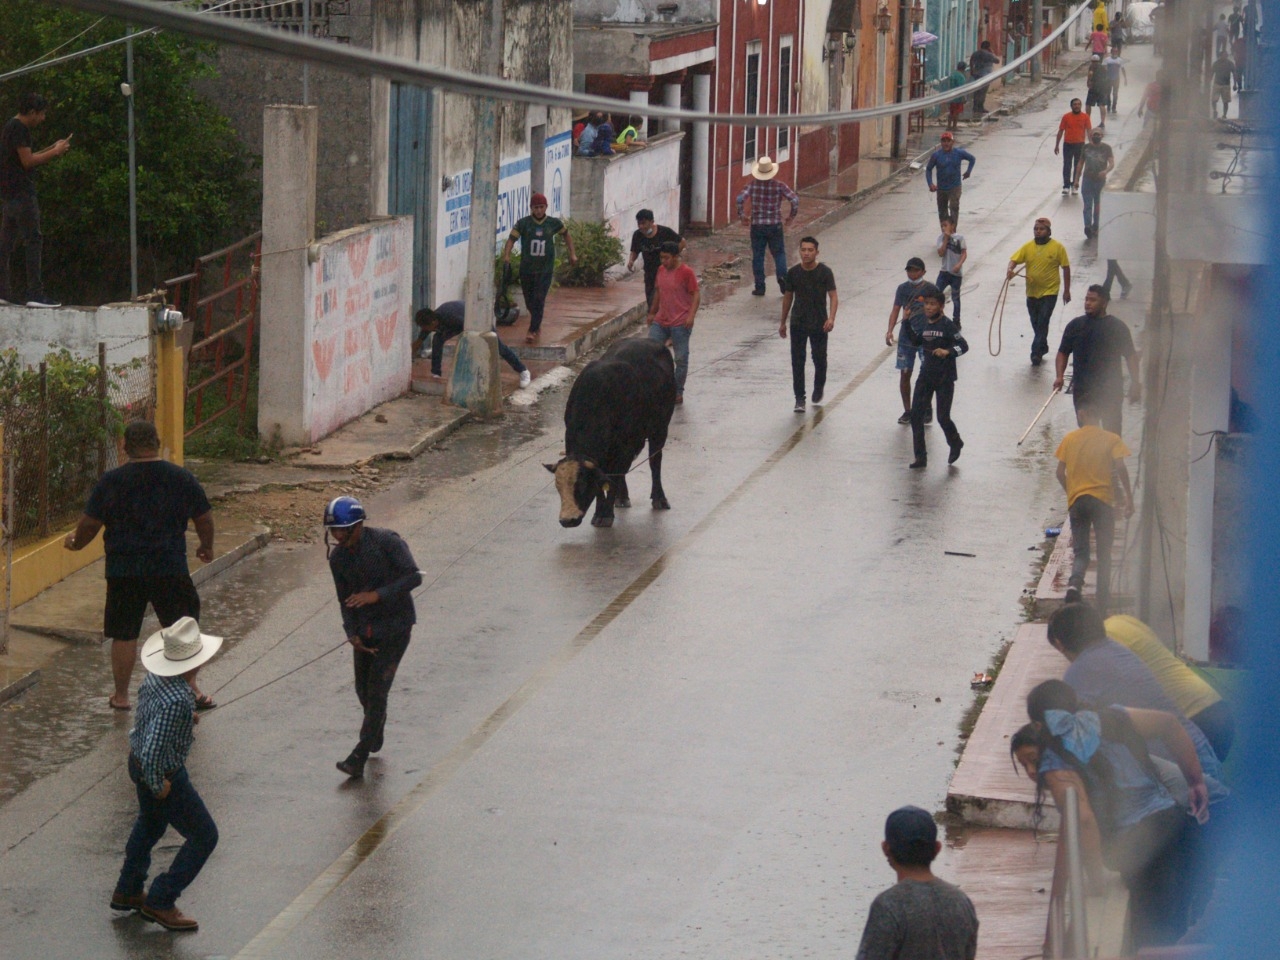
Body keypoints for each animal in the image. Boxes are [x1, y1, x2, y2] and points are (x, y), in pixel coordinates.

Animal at [542, 337, 675, 529]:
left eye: (581, 485)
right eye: (558, 487)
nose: (567, 520)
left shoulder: (625, 448)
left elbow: (613, 478)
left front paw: (606, 514)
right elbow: (604, 481)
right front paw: (600, 512)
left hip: (660, 428)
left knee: (654, 461)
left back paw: (659, 498)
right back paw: (622, 497)